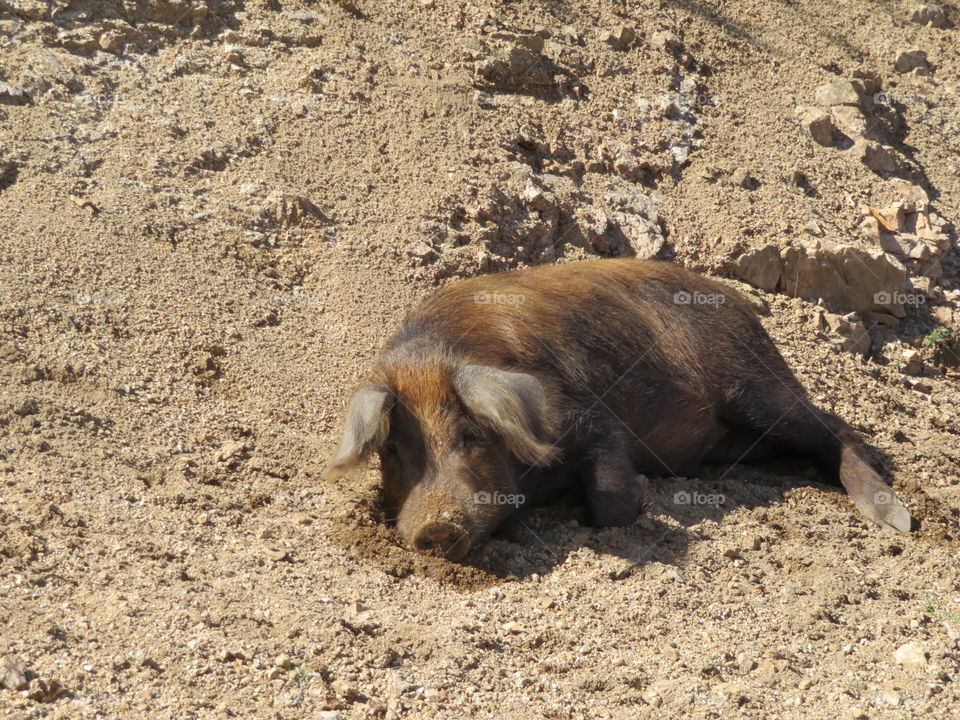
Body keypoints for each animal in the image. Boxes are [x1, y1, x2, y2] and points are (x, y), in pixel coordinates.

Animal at [324, 259, 913, 561]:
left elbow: (609, 496)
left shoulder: (592, 416)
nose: (434, 529)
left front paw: (643, 493)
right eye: (394, 450)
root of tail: (738, 302)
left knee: (837, 428)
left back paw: (896, 519)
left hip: (756, 386)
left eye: (471, 435)